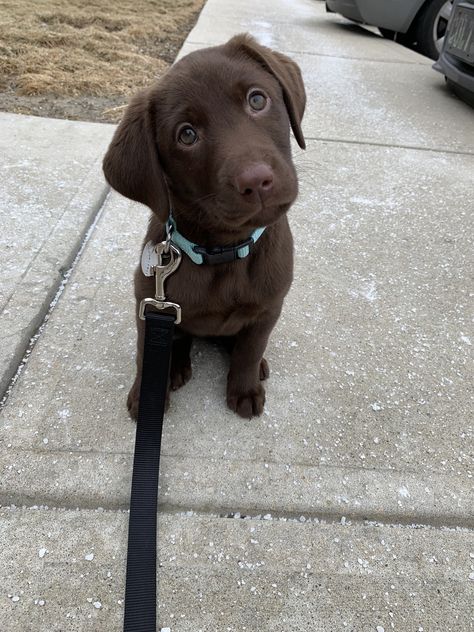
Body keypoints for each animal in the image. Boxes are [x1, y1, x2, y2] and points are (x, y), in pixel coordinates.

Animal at [102, 33, 306, 420]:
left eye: (257, 99)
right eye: (186, 135)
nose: (256, 181)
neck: (224, 249)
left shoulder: (270, 306)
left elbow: (250, 349)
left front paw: (244, 388)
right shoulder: (149, 305)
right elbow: (145, 352)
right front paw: (146, 396)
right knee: (179, 339)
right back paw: (175, 369)